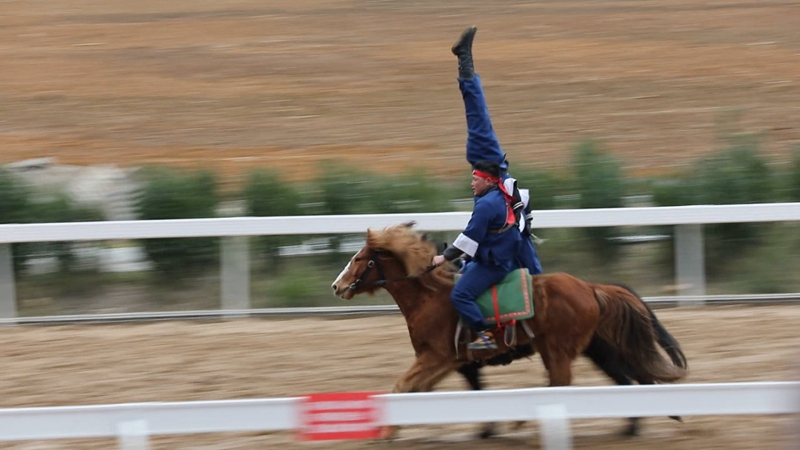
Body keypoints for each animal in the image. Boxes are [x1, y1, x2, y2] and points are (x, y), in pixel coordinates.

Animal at [331, 222, 688, 439]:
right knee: (620, 378)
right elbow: (435, 389)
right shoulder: (453, 362)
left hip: (559, 349)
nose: (337, 286)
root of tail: (590, 287)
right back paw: (633, 425)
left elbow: (403, 386)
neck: (430, 296)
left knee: (562, 383)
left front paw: (388, 432)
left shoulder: (437, 357)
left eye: (360, 258)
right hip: (592, 348)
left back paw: (526, 419)